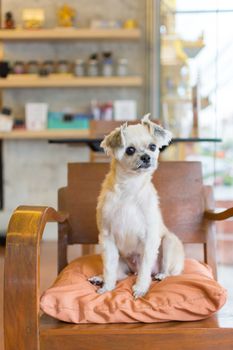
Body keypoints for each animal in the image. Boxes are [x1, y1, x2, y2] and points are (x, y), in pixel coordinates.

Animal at [88, 114, 184, 298]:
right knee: (118, 273)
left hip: (168, 242)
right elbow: (109, 268)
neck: (129, 188)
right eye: (130, 150)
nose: (146, 157)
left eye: (153, 146)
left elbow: (145, 268)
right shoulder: (107, 239)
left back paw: (161, 275)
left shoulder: (150, 239)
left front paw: (140, 288)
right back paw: (100, 278)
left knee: (164, 270)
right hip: (121, 261)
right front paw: (107, 287)